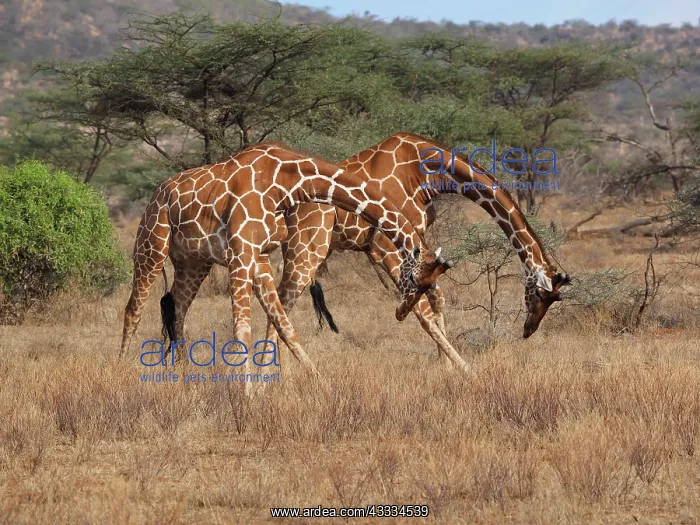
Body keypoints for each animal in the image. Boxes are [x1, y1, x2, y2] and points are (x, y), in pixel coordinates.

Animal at [119, 142, 454, 384]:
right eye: (413, 280)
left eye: (425, 283)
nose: (401, 312)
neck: (285, 181)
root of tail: (157, 193)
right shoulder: (241, 253)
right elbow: (243, 328)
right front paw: (244, 397)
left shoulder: (260, 255)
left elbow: (284, 324)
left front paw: (316, 383)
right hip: (152, 245)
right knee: (133, 309)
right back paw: (122, 371)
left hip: (193, 261)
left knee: (176, 306)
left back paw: (183, 373)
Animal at [262, 133, 571, 370]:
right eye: (540, 294)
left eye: (555, 299)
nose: (529, 329)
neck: (426, 175)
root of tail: (284, 203)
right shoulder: (384, 245)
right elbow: (424, 313)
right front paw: (466, 371)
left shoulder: (421, 245)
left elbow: (437, 299)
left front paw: (447, 369)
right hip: (307, 250)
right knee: (280, 304)